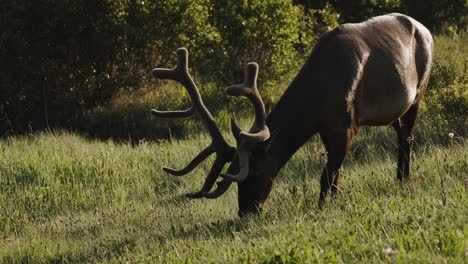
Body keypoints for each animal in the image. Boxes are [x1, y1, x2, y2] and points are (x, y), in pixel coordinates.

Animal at [152, 12, 434, 217]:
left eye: (254, 173)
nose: (246, 212)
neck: (319, 96)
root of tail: (426, 28)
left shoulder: (346, 125)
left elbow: (327, 175)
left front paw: (323, 206)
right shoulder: (326, 128)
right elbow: (335, 173)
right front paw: (335, 200)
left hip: (419, 89)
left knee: (407, 136)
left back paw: (403, 178)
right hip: (396, 110)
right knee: (401, 134)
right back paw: (401, 176)